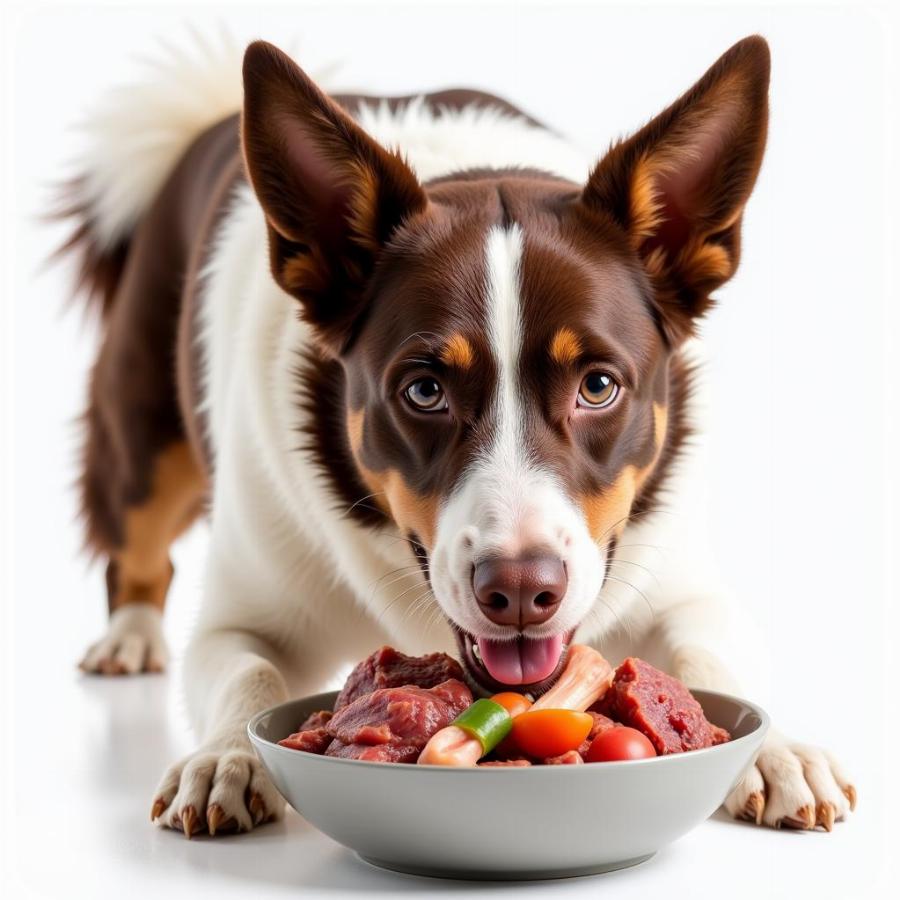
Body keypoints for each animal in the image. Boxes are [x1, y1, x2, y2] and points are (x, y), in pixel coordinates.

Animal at [61, 35, 852, 836]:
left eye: (598, 386)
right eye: (424, 391)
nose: (522, 592)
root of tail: (214, 109)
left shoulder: (680, 587)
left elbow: (714, 659)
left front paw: (775, 748)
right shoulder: (239, 617)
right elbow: (249, 671)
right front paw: (227, 754)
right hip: (143, 432)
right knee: (136, 546)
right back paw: (129, 636)